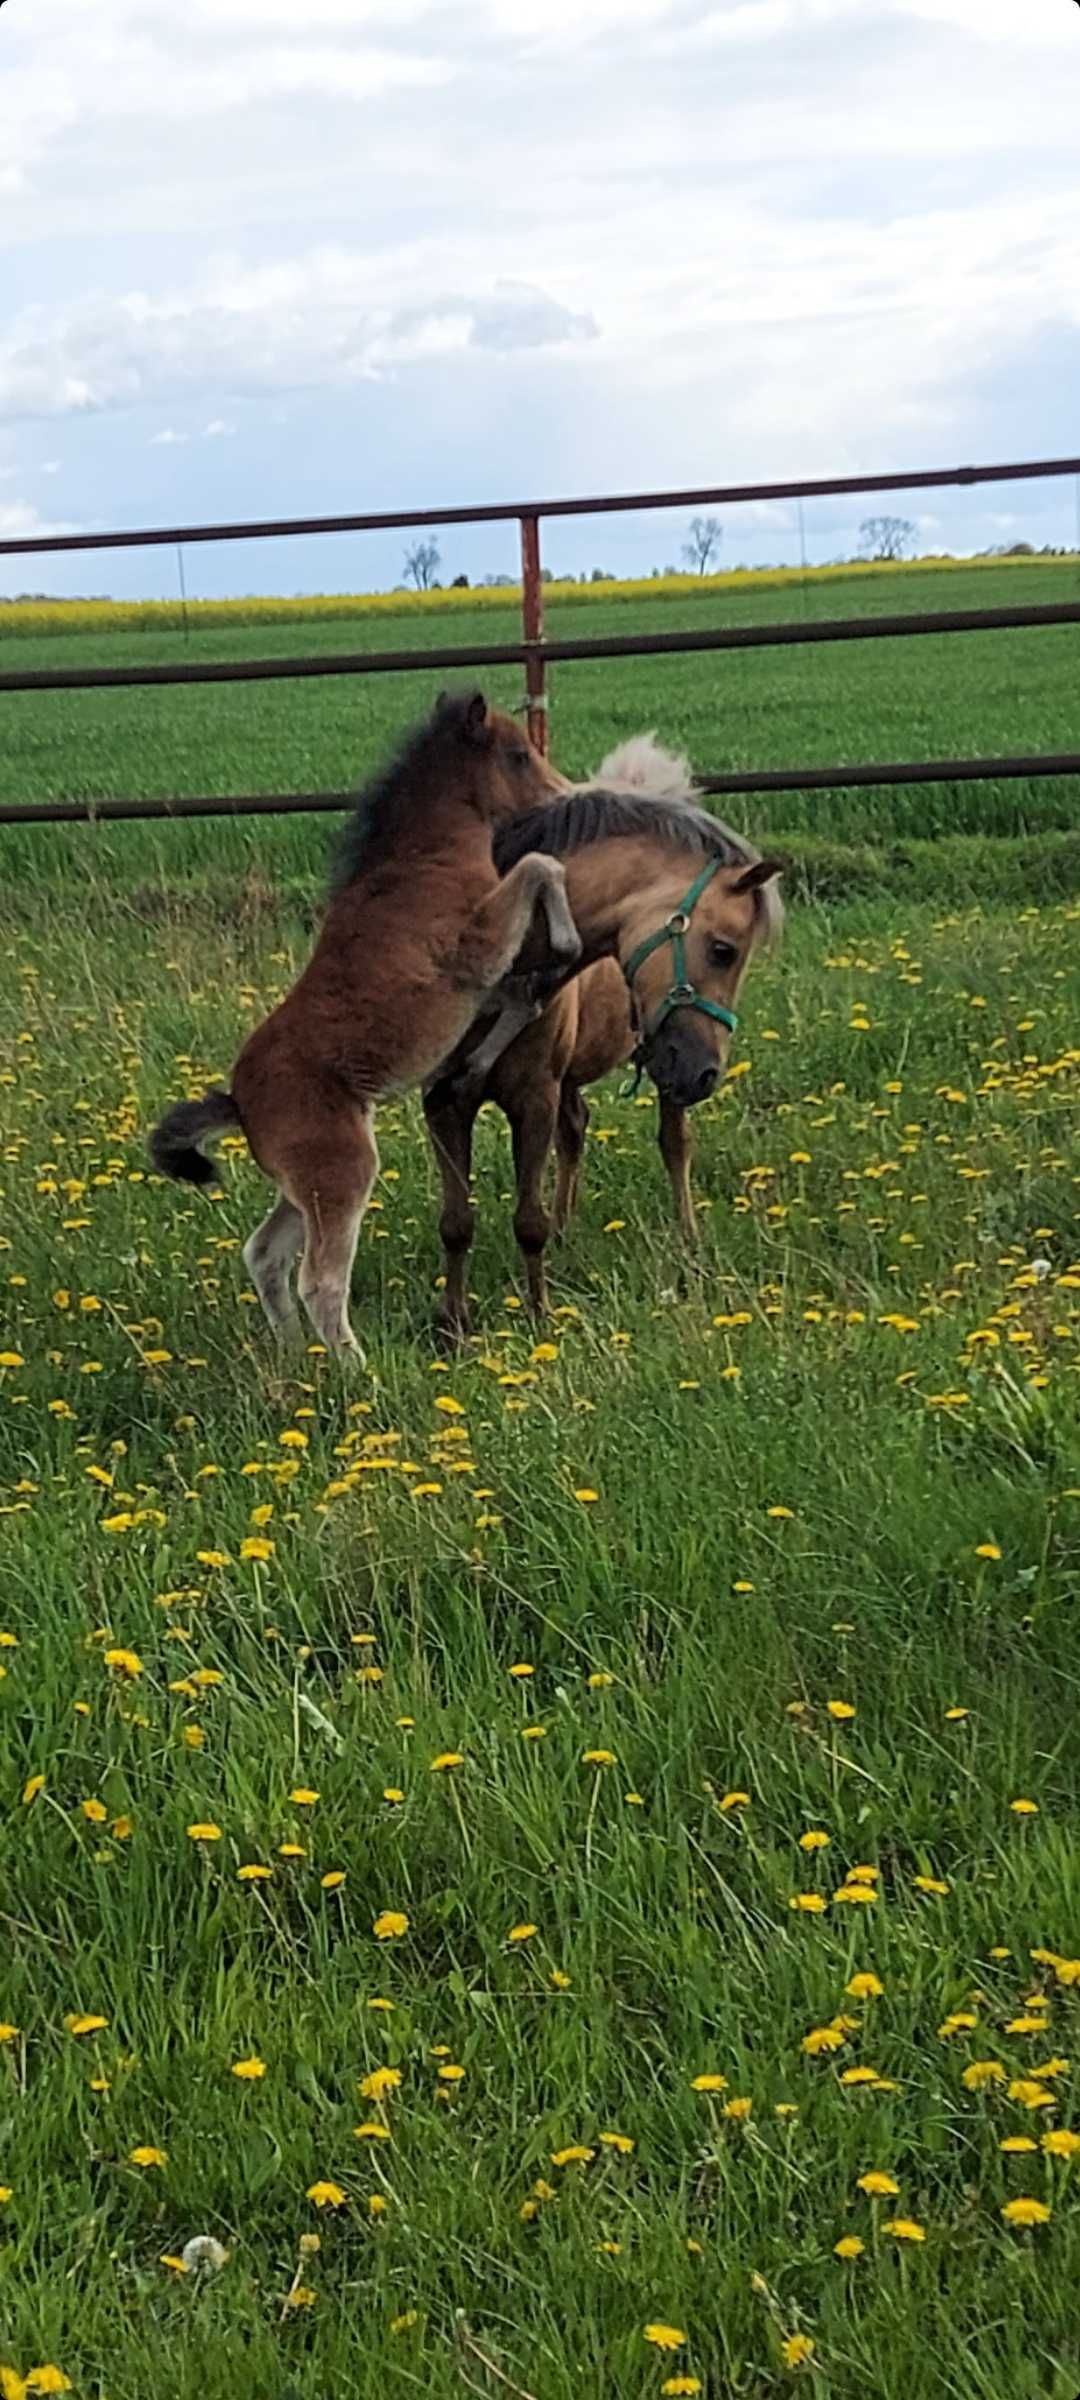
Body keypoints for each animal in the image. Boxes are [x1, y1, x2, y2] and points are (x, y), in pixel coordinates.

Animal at [150, 691, 583, 1353]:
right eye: (516, 754)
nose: (565, 791)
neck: (424, 858)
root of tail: (239, 1103)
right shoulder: (476, 949)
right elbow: (542, 864)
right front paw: (565, 942)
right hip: (343, 1173)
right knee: (320, 1282)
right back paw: (357, 1368)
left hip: (303, 1186)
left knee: (264, 1254)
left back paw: (296, 1360)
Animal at [424, 734, 782, 1334]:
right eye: (723, 949)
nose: (707, 1073)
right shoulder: (443, 1100)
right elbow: (456, 1221)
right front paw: (452, 1325)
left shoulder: (534, 1096)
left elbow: (527, 1219)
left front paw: (538, 1317)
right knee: (575, 1132)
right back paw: (568, 1232)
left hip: (659, 1069)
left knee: (674, 1144)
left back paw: (687, 1244)